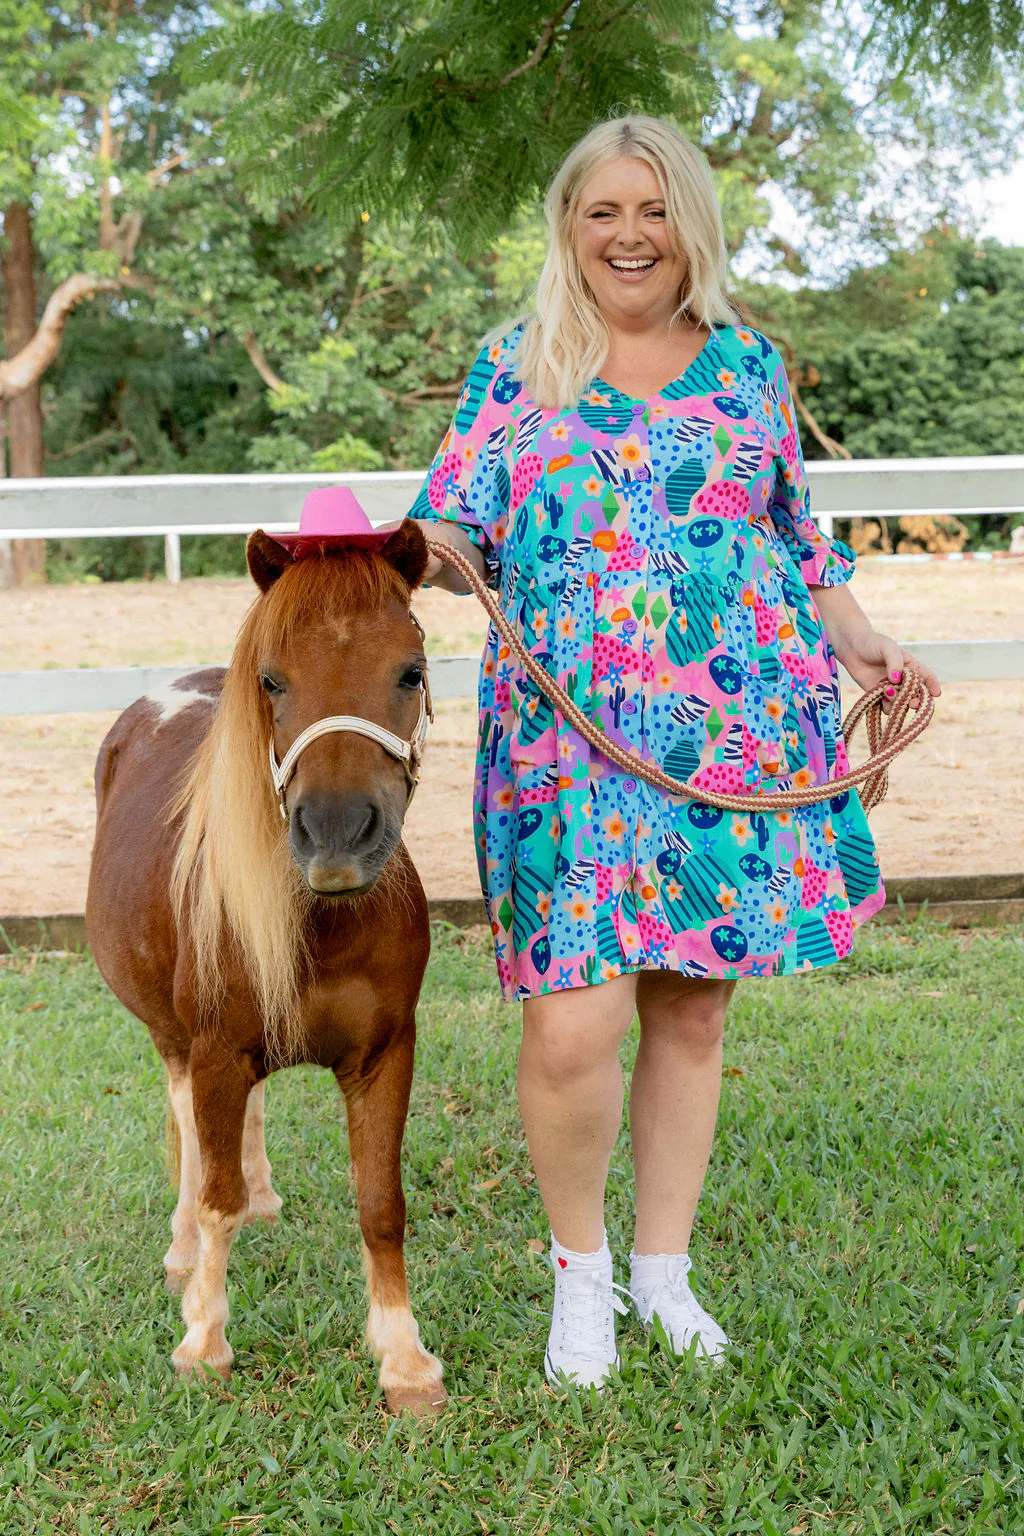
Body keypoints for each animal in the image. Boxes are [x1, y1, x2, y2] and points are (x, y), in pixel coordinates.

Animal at [85, 521, 446, 1415]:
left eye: (410, 671)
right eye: (273, 680)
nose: (338, 835)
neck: (324, 922)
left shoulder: (385, 1056)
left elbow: (380, 1204)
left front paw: (404, 1358)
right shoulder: (216, 1051)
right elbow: (215, 1195)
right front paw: (203, 1340)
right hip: (171, 1033)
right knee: (186, 1123)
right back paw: (184, 1254)